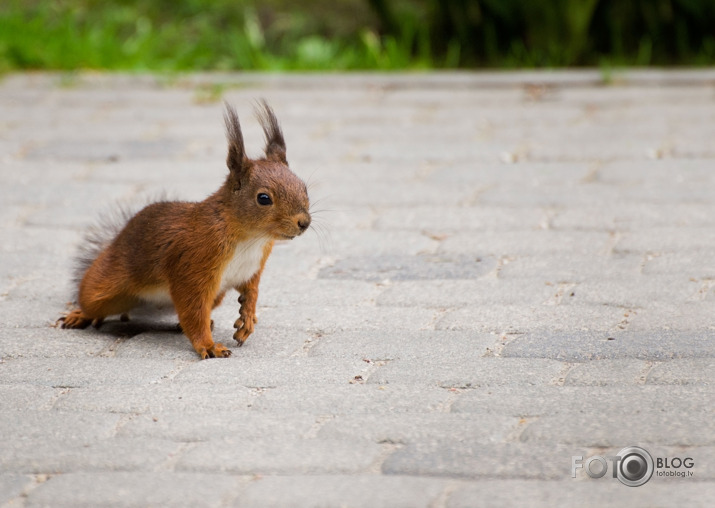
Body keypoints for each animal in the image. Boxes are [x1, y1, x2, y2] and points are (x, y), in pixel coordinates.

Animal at [58, 101, 310, 360]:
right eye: (263, 198)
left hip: (216, 295)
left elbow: (251, 293)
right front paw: (208, 346)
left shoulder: (252, 270)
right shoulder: (193, 265)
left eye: (304, 187)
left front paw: (247, 319)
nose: (304, 222)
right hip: (106, 282)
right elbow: (193, 310)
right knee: (91, 300)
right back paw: (79, 315)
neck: (251, 238)